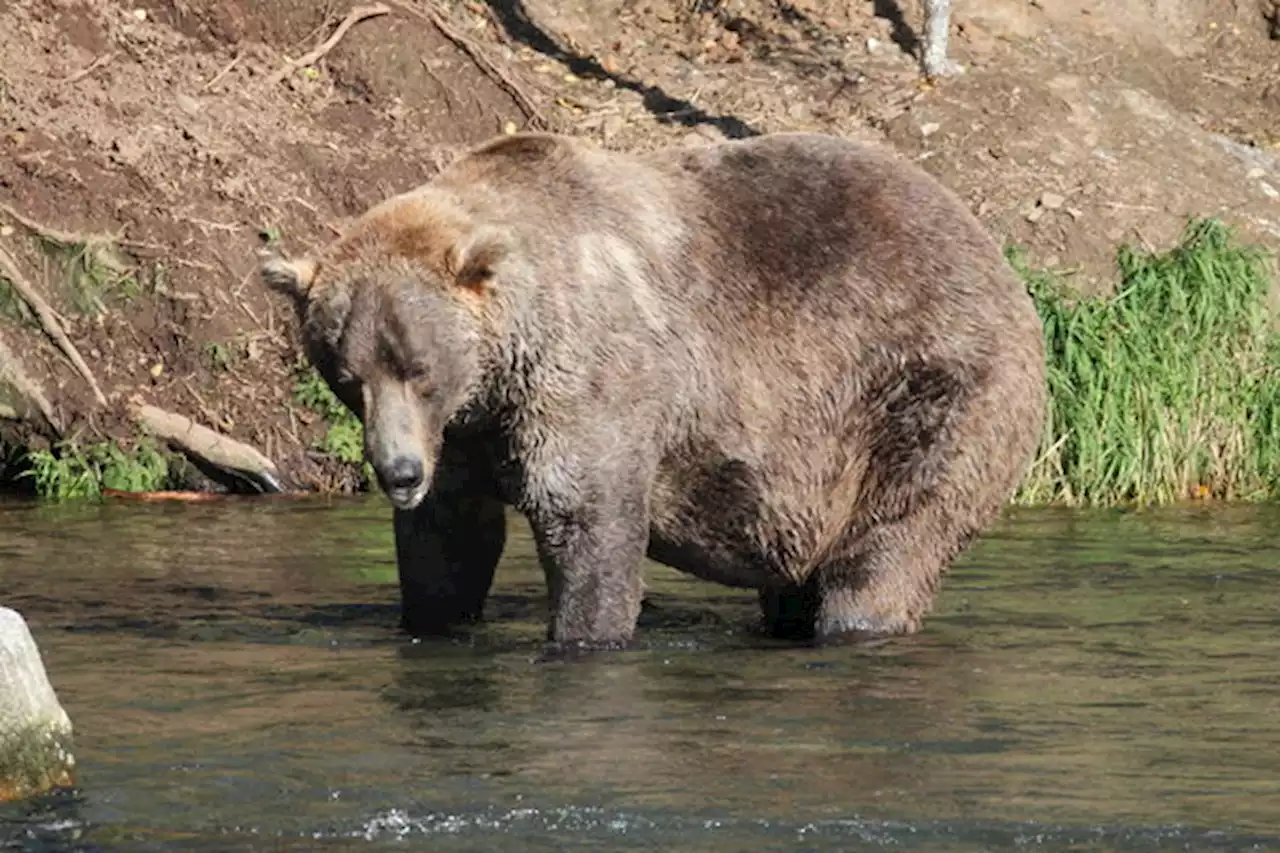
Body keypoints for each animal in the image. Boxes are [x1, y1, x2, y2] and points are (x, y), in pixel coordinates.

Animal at [262, 129, 1049, 648]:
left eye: (419, 367)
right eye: (347, 376)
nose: (398, 472)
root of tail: (995, 253)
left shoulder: (590, 377)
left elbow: (588, 517)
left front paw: (584, 633)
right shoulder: (466, 433)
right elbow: (450, 539)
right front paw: (434, 616)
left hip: (924, 386)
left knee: (892, 539)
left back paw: (857, 620)